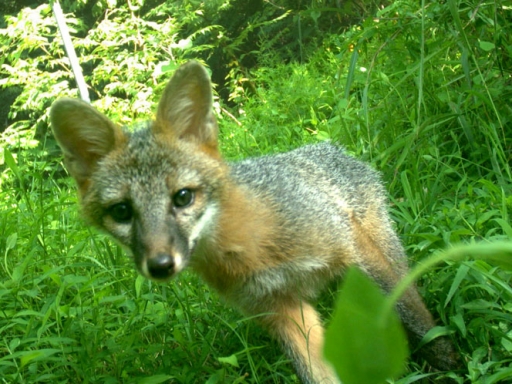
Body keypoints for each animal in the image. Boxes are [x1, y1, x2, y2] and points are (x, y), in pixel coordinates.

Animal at [51, 60, 460, 384]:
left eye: (182, 197)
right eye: (122, 211)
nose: (161, 265)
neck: (254, 250)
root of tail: (325, 148)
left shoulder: (350, 251)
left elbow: (417, 320)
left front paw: (450, 364)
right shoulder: (281, 312)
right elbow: (316, 373)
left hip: (381, 252)